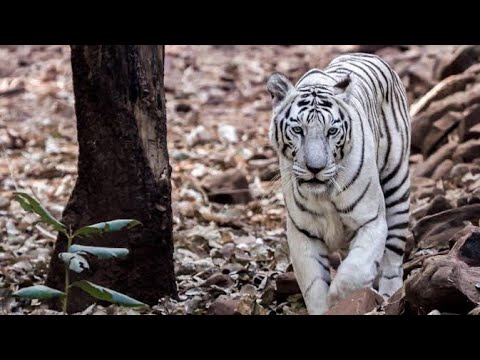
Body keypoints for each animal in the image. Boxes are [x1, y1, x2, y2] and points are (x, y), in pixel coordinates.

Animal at [268, 52, 410, 314]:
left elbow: (353, 274)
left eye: (332, 131)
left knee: (393, 255)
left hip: (397, 184)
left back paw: (388, 295)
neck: (323, 195)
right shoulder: (303, 232)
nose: (315, 168)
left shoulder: (371, 221)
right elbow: (313, 285)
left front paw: (339, 300)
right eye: (297, 130)